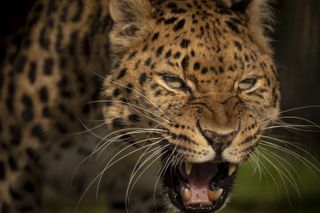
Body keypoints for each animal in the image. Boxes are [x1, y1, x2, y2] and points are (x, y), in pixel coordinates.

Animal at [0, 0, 280, 213]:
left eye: (247, 83)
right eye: (173, 82)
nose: (220, 137)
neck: (106, 138)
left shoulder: (141, 194)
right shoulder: (14, 172)